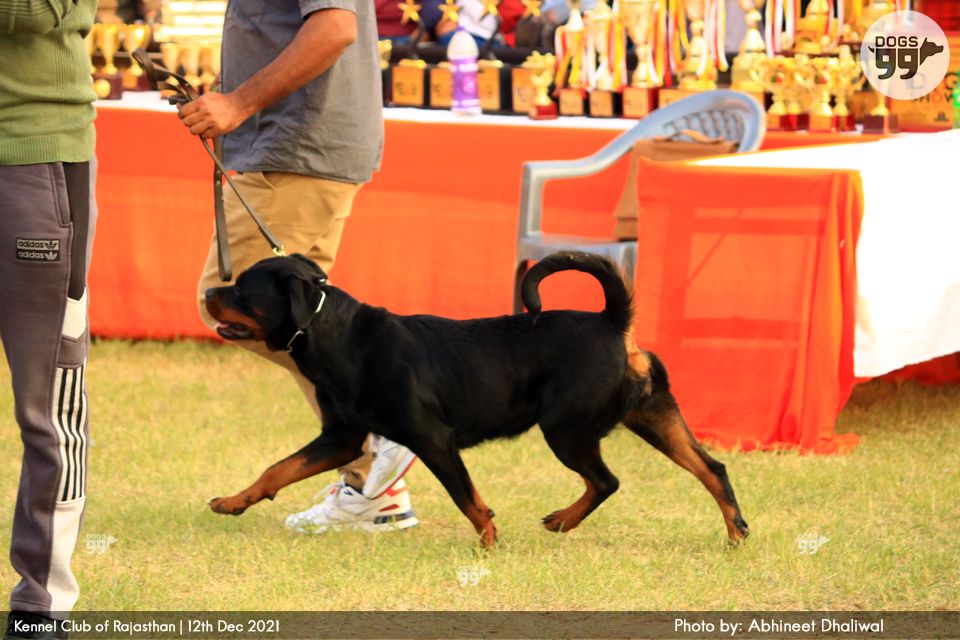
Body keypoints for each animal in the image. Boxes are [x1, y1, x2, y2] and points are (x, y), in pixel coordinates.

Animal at [204, 251, 749, 546]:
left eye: (242, 288)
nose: (210, 291)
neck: (340, 337)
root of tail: (613, 323)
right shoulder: (341, 436)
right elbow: (279, 468)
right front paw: (233, 502)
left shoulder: (433, 440)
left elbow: (467, 498)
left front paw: (488, 543)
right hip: (653, 416)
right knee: (710, 468)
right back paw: (736, 533)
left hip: (566, 430)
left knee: (606, 480)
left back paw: (563, 520)